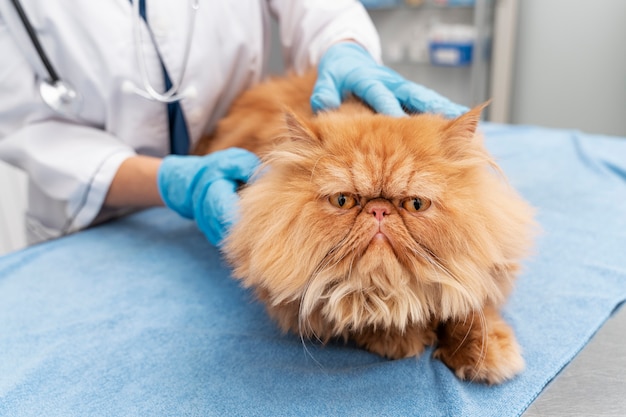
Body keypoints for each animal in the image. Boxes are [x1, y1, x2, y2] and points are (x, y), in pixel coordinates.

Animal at [194, 70, 532, 384]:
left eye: (416, 204)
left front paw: (488, 352)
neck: (387, 290)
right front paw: (401, 337)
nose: (379, 210)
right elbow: (349, 308)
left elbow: (473, 302)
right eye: (343, 200)